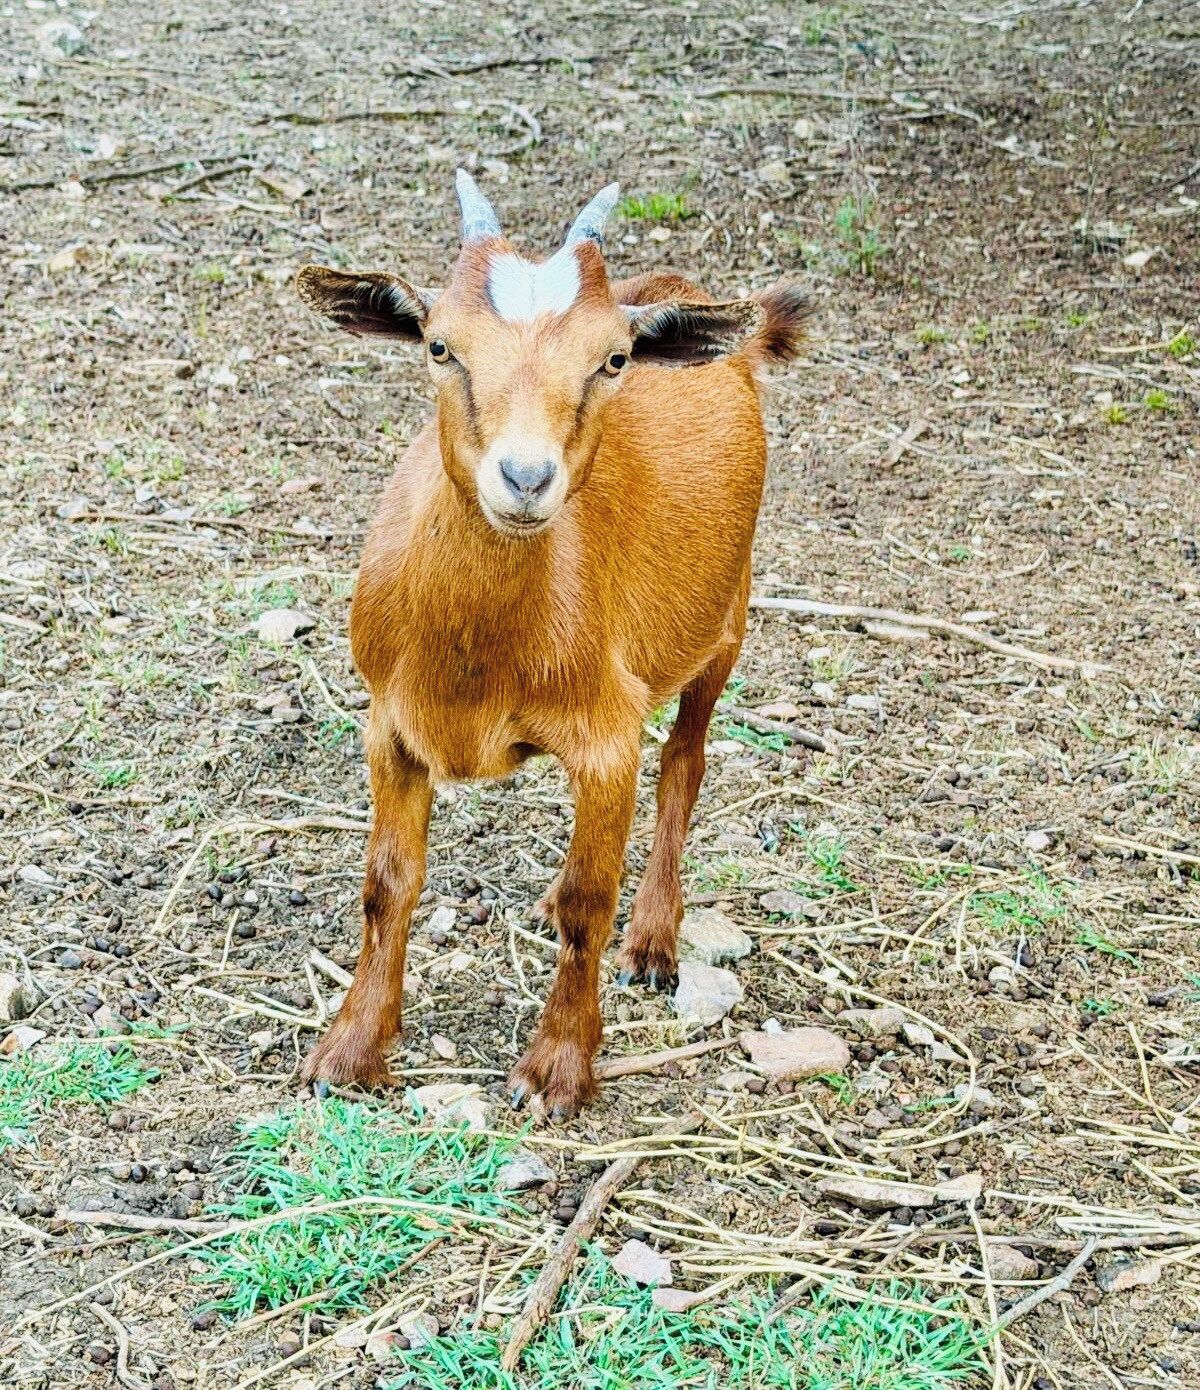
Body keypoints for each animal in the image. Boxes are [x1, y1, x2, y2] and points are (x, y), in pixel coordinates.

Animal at [295, 172, 808, 1117]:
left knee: (684, 764)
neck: (474, 658)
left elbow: (588, 901)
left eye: (612, 361)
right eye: (438, 346)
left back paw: (652, 942)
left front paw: (558, 1069)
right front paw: (350, 1050)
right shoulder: (388, 724)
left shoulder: (607, 736)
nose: (527, 478)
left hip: (726, 621)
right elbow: (388, 884)